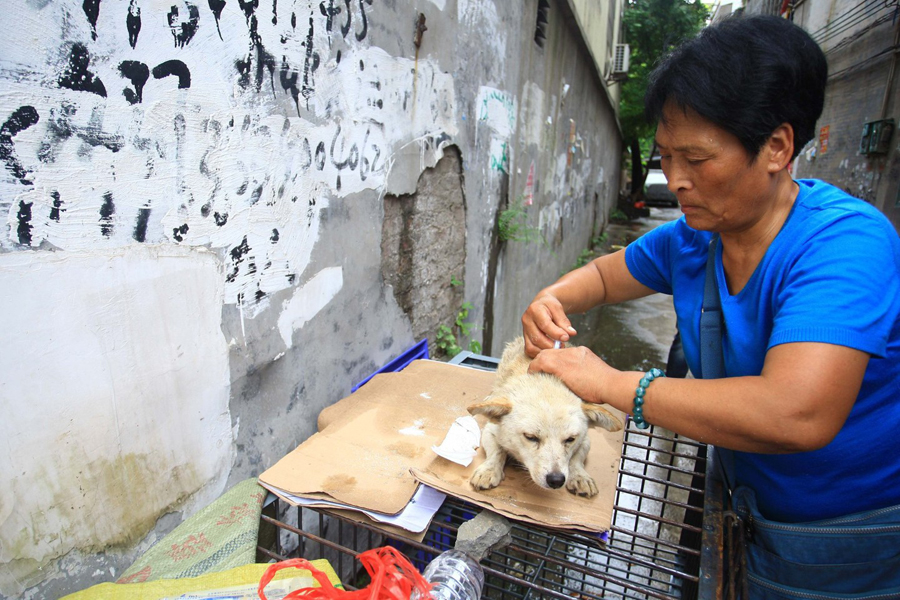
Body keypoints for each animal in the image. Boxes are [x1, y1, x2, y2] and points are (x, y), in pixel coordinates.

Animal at [468, 338, 624, 496]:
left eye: (570, 439)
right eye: (530, 437)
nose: (556, 480)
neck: (545, 384)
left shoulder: (585, 440)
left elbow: (576, 459)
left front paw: (580, 476)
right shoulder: (490, 430)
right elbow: (497, 451)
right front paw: (489, 470)